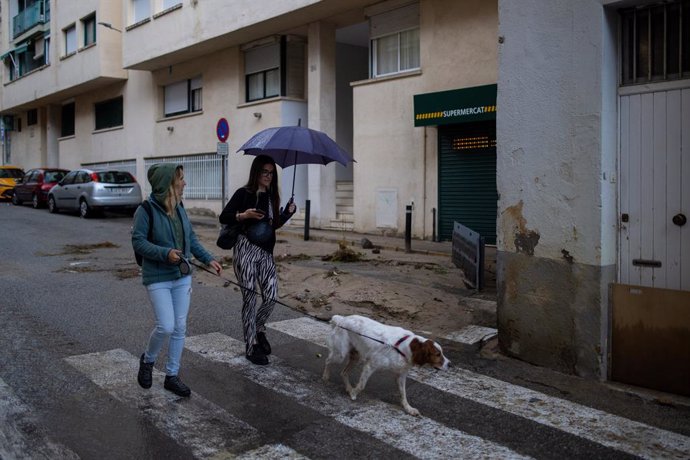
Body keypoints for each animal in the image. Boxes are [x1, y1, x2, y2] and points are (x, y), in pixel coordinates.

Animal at [322, 312, 452, 416]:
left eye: (441, 353)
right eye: (437, 354)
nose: (450, 364)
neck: (405, 348)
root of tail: (342, 319)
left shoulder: (401, 375)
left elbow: (403, 394)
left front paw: (408, 408)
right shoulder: (370, 366)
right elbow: (362, 385)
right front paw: (354, 393)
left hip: (355, 357)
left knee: (343, 372)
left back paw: (348, 388)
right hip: (340, 354)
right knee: (328, 360)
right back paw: (326, 377)